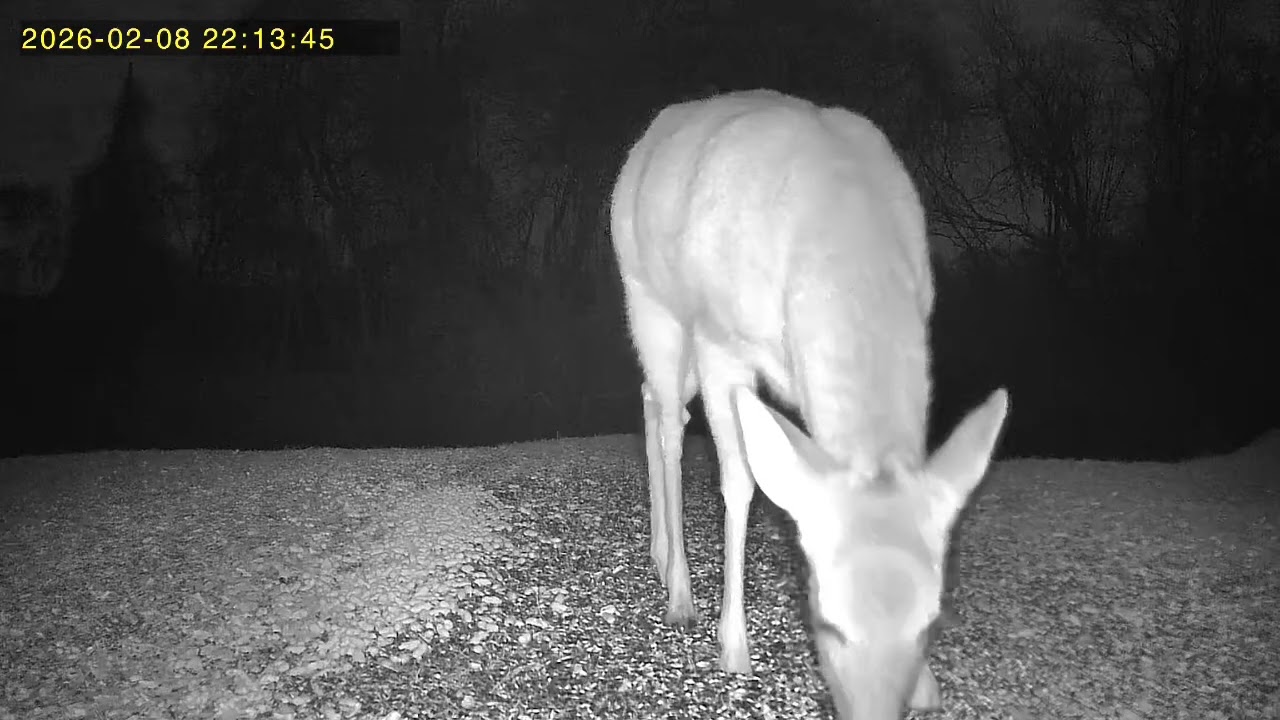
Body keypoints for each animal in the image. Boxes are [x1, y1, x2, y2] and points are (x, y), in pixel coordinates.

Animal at [609, 89, 1009, 718]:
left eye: (931, 623)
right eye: (825, 618)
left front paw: (927, 687)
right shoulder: (723, 339)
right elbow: (740, 481)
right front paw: (733, 645)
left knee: (653, 398)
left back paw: (658, 551)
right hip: (650, 299)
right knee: (671, 422)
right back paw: (677, 587)